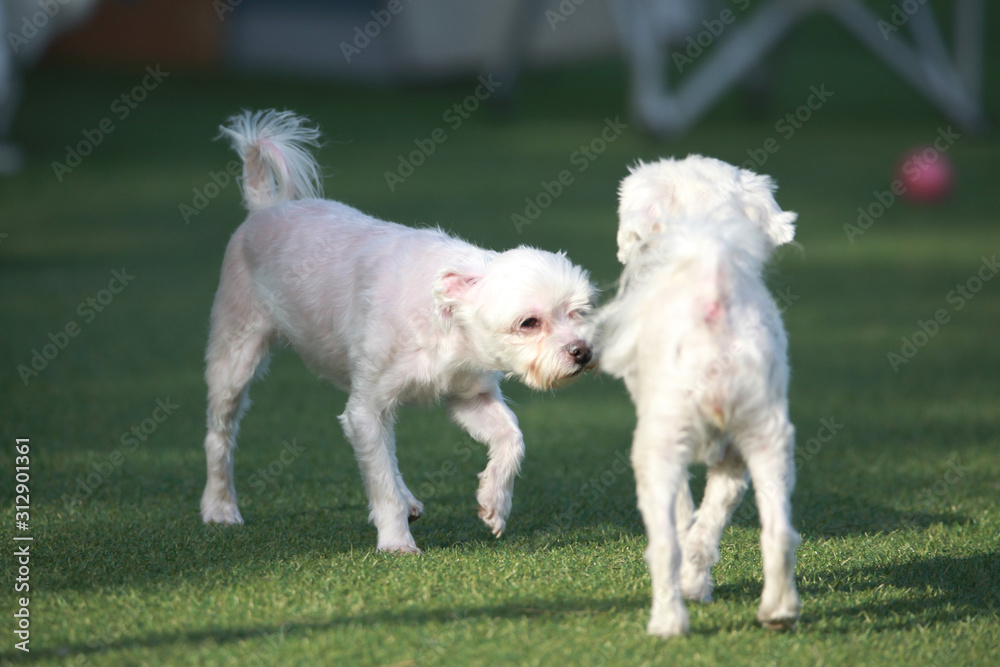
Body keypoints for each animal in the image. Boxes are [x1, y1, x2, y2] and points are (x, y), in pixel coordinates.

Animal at [199, 112, 596, 556]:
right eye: (529, 323)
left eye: (579, 311)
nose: (582, 351)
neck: (444, 322)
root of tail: (265, 206)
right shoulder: (367, 409)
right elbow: (381, 482)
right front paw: (395, 543)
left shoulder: (468, 395)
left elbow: (511, 437)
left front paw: (495, 502)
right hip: (236, 356)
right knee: (220, 435)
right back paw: (219, 507)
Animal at [596, 155, 800, 636]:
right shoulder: (732, 457)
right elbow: (708, 519)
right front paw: (698, 581)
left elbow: (684, 514)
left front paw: (690, 585)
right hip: (766, 435)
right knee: (778, 532)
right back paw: (777, 611)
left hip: (658, 446)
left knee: (665, 544)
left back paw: (667, 621)